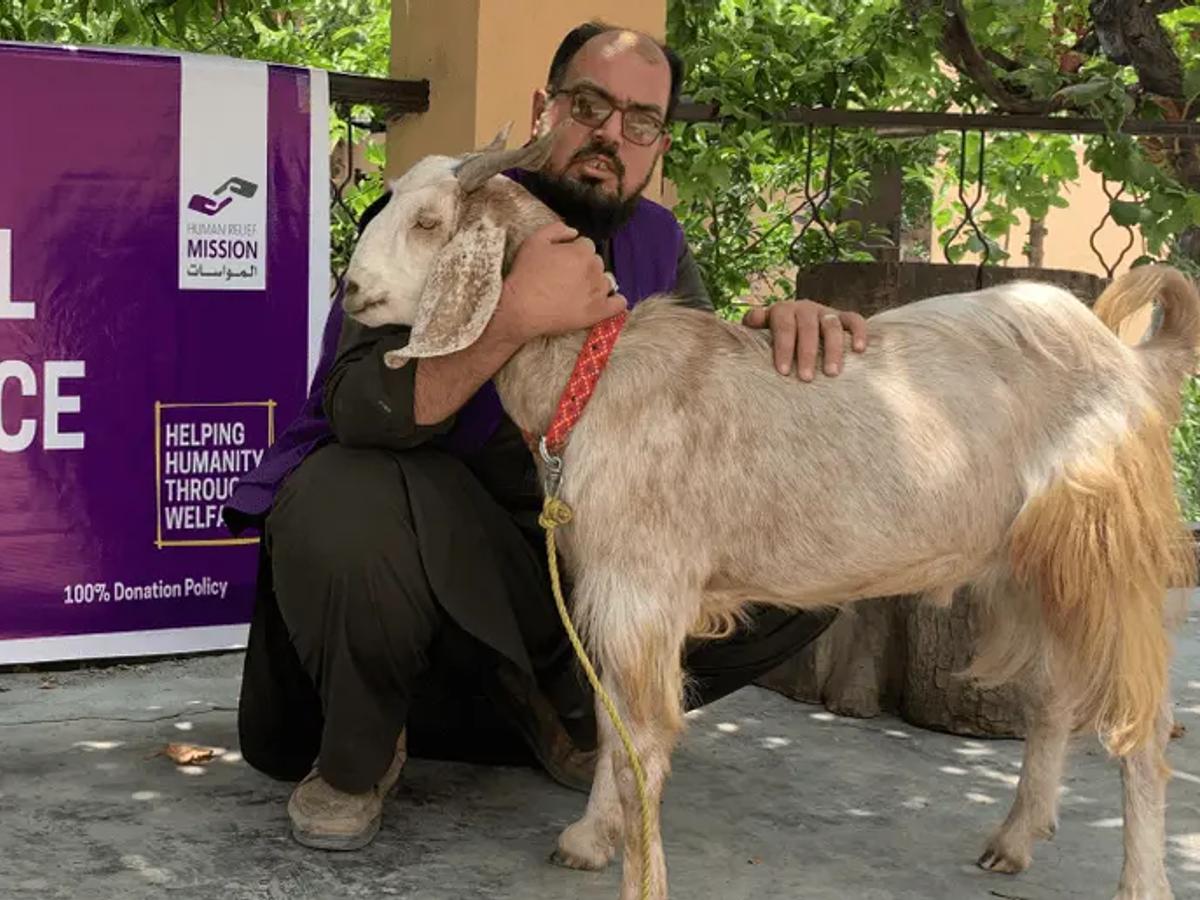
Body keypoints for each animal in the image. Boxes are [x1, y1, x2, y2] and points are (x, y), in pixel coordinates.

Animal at [341, 129, 1200, 900]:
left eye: (428, 223)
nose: (349, 291)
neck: (597, 371)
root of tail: (1133, 361)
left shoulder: (643, 585)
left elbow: (643, 736)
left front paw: (639, 876)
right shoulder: (612, 585)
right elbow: (614, 723)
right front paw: (591, 836)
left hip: (1111, 552)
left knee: (1140, 726)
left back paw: (1142, 881)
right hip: (1034, 563)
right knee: (1055, 696)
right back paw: (1016, 838)